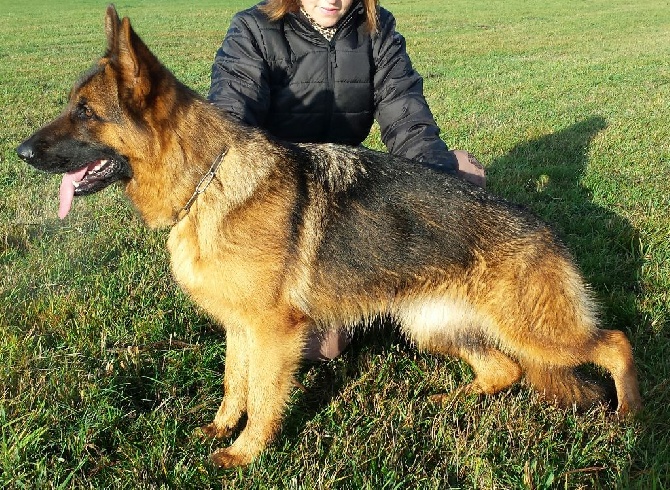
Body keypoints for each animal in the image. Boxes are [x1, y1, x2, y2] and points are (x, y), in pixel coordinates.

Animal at [15, 5, 644, 468]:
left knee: (615, 343)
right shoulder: (241, 329)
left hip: (535, 331)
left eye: (85, 112)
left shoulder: (274, 334)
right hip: (433, 325)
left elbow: (263, 397)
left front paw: (244, 454)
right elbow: (233, 385)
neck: (206, 180)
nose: (19, 153)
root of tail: (545, 232)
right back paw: (450, 397)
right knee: (503, 371)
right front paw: (219, 429)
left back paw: (631, 417)